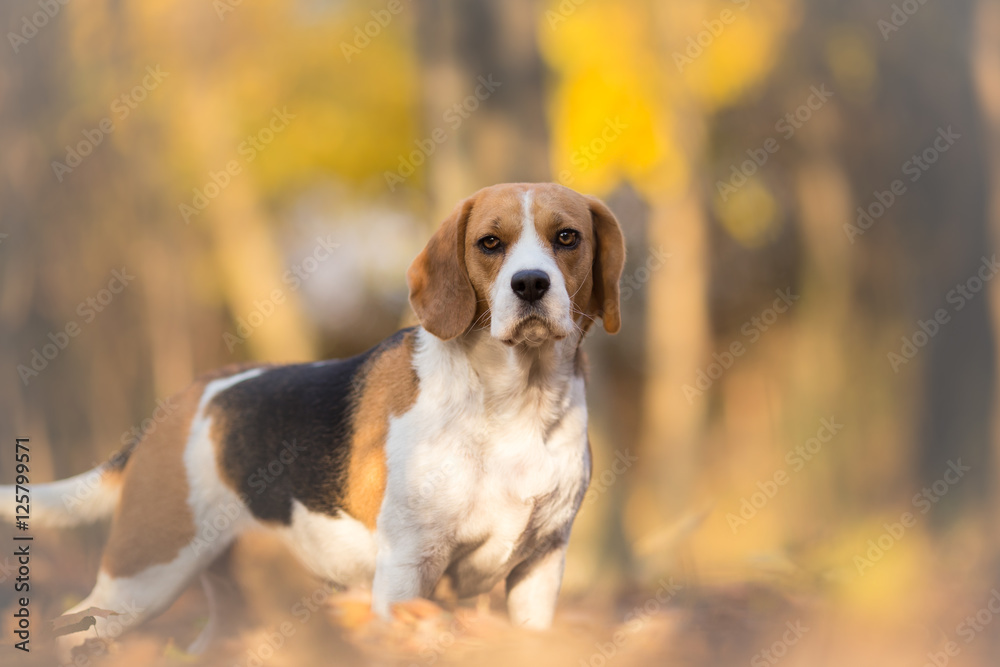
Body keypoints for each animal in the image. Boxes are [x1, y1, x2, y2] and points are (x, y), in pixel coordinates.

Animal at [1, 181, 624, 656]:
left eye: (567, 237)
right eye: (489, 243)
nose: (530, 284)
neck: (514, 401)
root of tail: (186, 398)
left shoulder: (540, 569)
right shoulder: (408, 567)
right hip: (142, 577)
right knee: (72, 630)